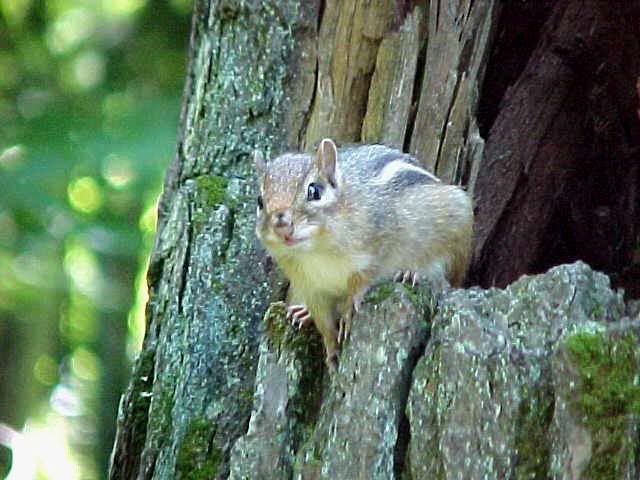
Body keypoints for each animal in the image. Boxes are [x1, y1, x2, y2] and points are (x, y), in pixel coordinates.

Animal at [254, 138, 473, 371]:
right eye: (260, 200)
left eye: (315, 191)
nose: (282, 225)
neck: (316, 252)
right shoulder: (311, 288)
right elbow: (324, 324)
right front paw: (331, 351)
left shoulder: (379, 246)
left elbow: (363, 279)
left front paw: (349, 310)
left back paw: (411, 273)